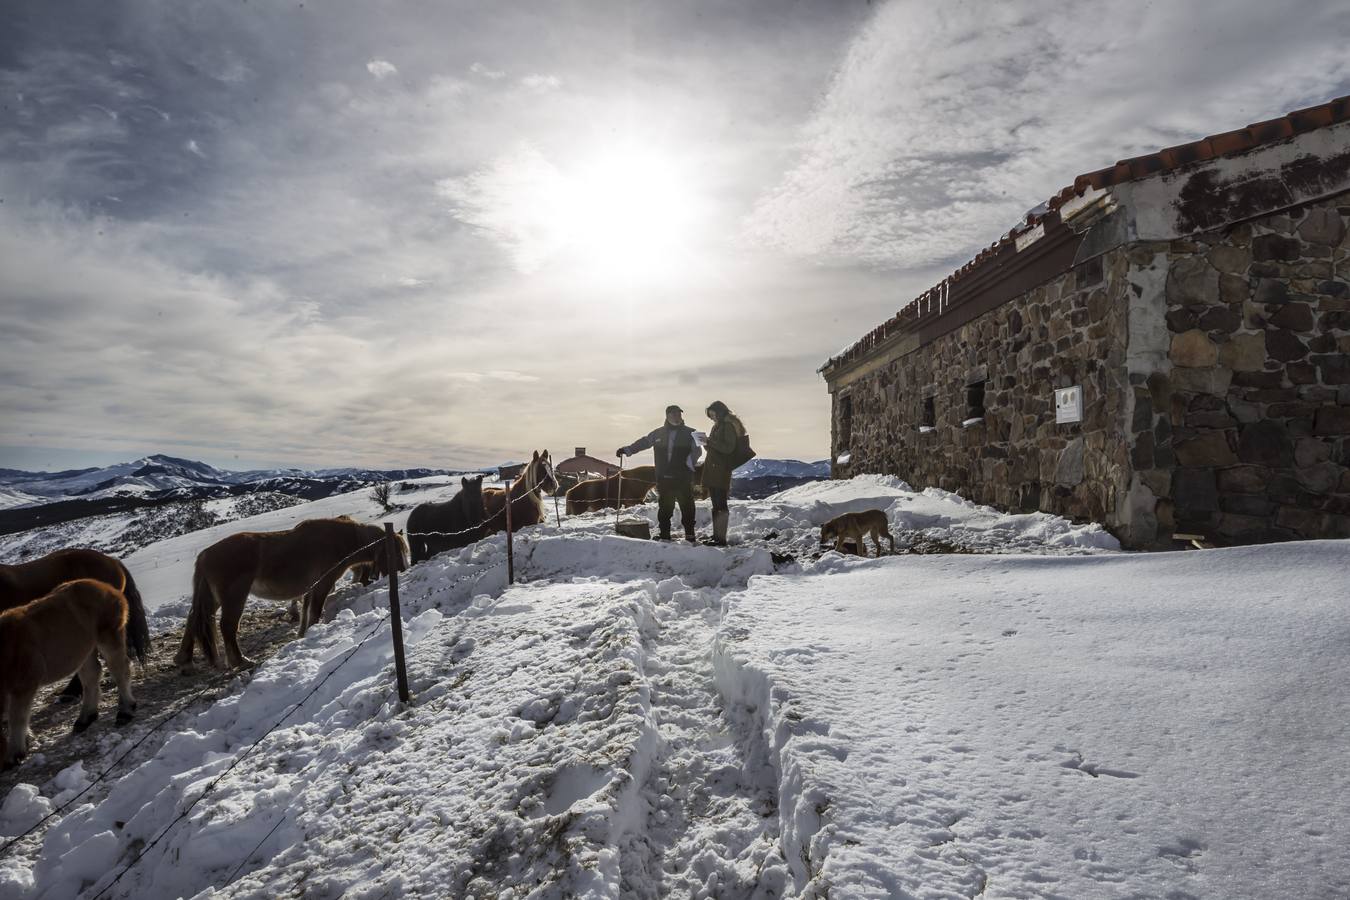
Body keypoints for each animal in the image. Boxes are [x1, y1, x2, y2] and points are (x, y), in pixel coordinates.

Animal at [0, 580, 137, 766]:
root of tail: (109, 588)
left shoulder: (24, 684)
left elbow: (17, 717)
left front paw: (15, 753)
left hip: (110, 636)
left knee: (120, 670)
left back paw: (125, 710)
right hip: (84, 651)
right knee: (92, 676)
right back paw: (86, 717)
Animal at [182, 518, 407, 671]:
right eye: (394, 553)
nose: (404, 570)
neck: (343, 539)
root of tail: (205, 555)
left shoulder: (311, 588)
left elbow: (306, 612)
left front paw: (302, 635)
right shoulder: (323, 584)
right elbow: (315, 612)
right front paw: (312, 633)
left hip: (213, 599)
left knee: (194, 621)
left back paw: (184, 659)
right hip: (234, 597)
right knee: (227, 626)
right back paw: (240, 661)